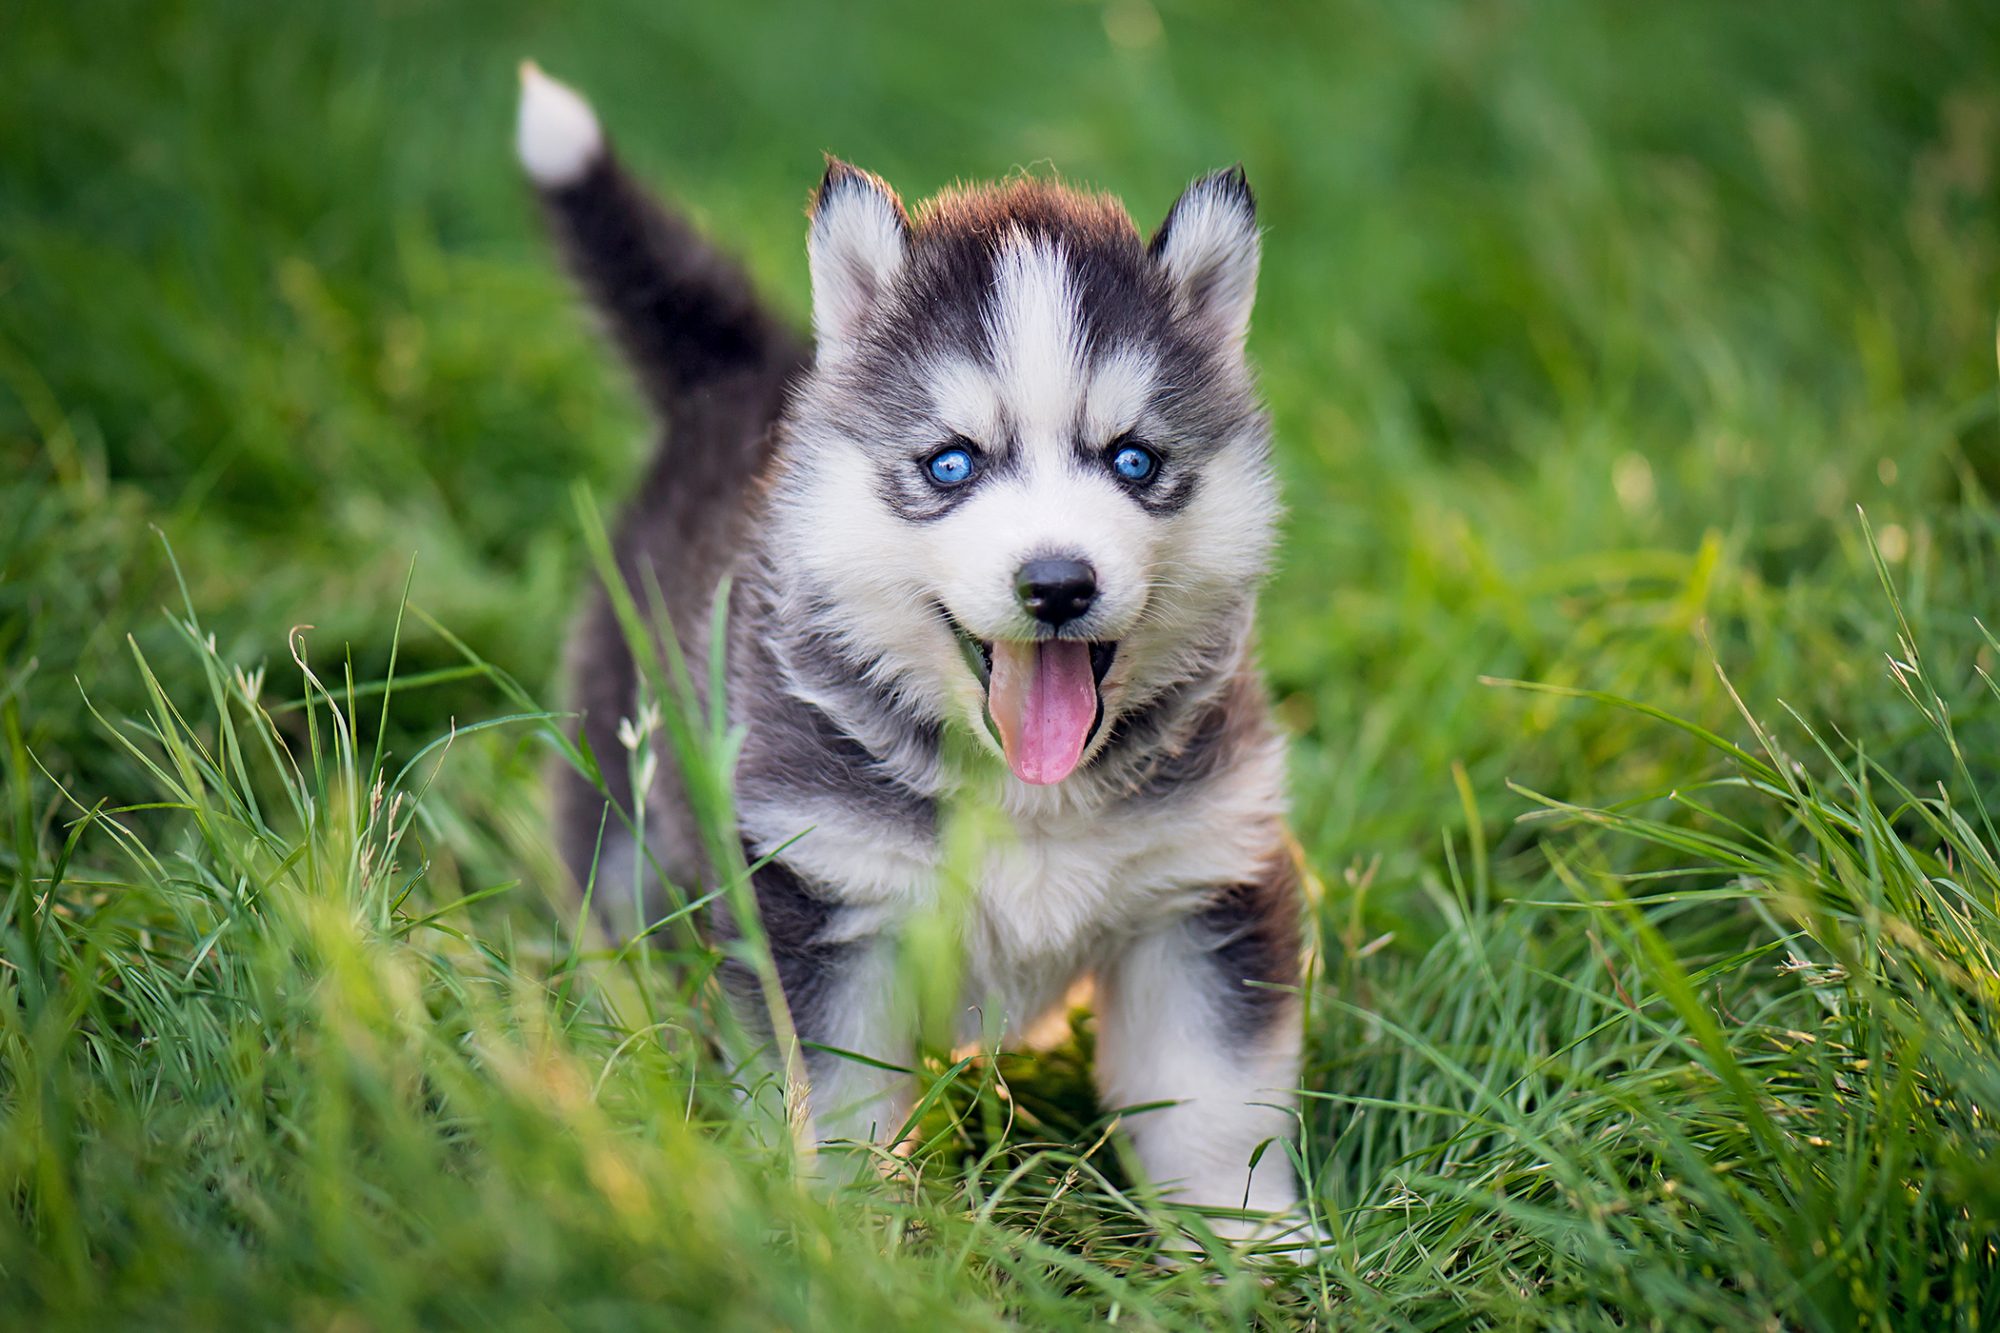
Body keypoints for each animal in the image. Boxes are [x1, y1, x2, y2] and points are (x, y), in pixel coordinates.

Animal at [516, 59, 1304, 1224]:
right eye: (950, 464)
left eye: (1132, 460)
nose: (1057, 584)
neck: (1028, 793)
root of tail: (751, 376)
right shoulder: (816, 898)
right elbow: (832, 1106)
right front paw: (839, 1233)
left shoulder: (1201, 885)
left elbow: (1212, 1105)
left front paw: (1252, 1244)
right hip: (626, 785)